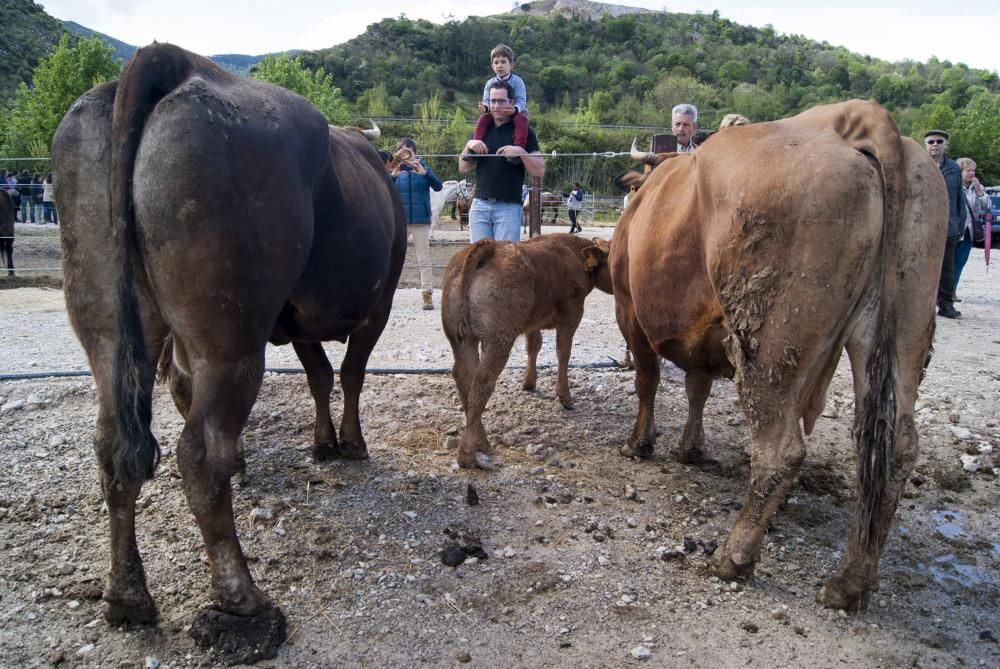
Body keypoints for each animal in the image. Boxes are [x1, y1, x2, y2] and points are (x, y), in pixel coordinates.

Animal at [51, 44, 406, 664]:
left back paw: (127, 596)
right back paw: (243, 602)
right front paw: (351, 443)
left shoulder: (296, 317)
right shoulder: (377, 305)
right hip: (231, 336)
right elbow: (350, 374)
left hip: (110, 324)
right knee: (199, 451)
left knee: (115, 444)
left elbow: (318, 376)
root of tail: (172, 61)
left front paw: (323, 443)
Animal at [442, 235, 612, 470]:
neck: (573, 253)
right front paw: (565, 396)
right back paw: (468, 453)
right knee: (482, 382)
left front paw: (529, 383)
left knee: (464, 377)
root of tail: (489, 246)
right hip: (499, 337)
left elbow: (534, 345)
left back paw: (480, 439)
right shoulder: (572, 313)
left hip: (461, 338)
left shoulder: (534, 322)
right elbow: (563, 351)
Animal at [612, 100, 948, 612]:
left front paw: (640, 442)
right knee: (896, 447)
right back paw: (850, 582)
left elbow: (648, 382)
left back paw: (731, 557)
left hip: (769, 340)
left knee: (780, 448)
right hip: (904, 327)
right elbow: (697, 387)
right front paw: (691, 447)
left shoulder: (631, 311)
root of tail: (856, 117)